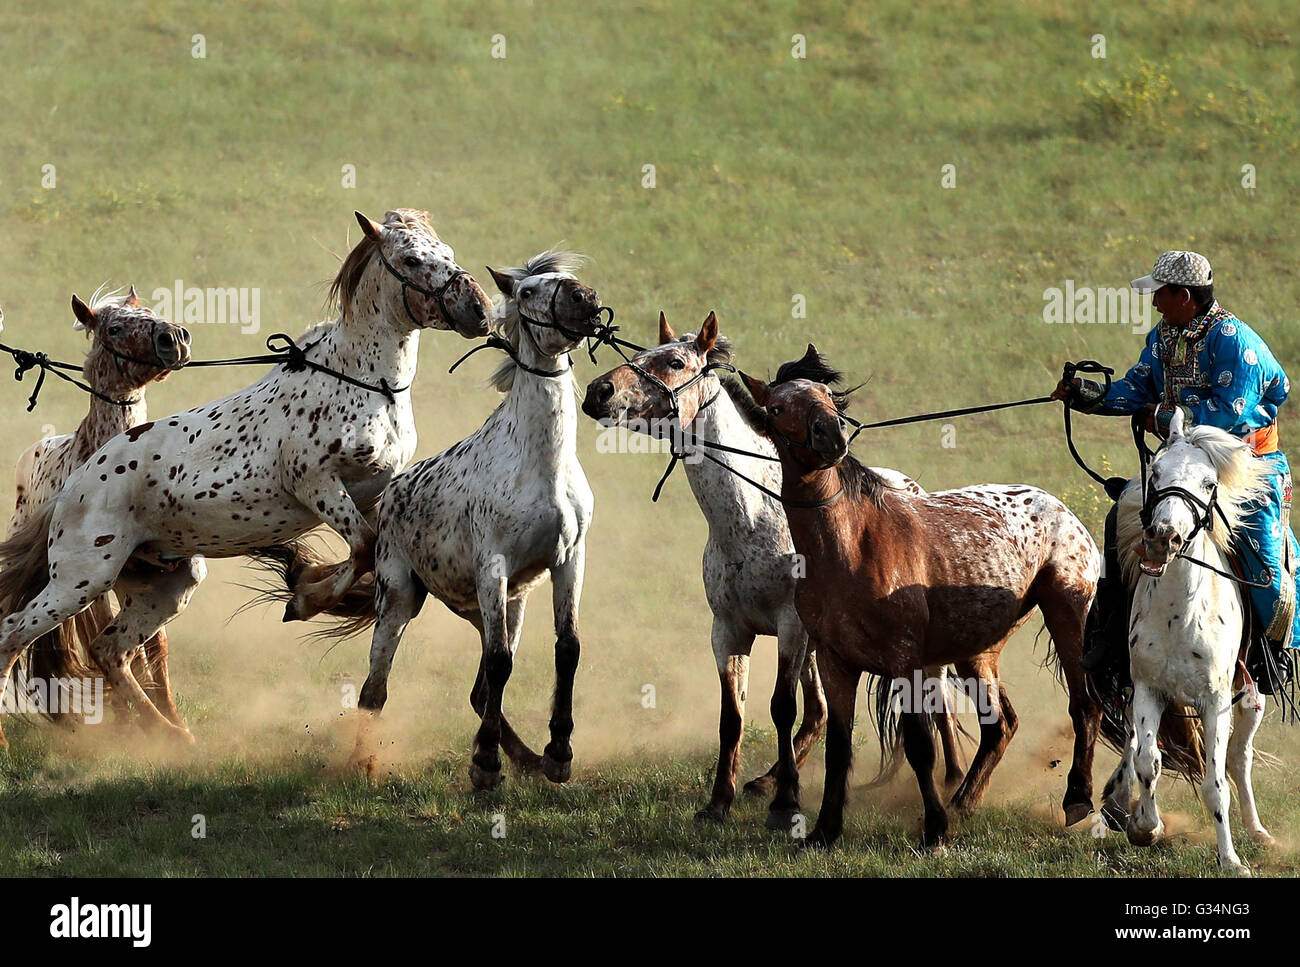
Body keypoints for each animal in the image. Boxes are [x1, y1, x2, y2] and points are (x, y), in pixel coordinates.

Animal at [4, 291, 192, 727]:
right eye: (115, 328)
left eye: (150, 312)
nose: (173, 338)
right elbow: (109, 639)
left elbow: (154, 648)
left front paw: (171, 717)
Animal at [325, 253, 603, 790]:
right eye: (528, 292)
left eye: (571, 281)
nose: (586, 300)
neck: (542, 467)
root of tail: (393, 494)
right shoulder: (492, 565)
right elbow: (499, 664)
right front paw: (487, 765)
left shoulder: (569, 560)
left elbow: (567, 649)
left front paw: (557, 755)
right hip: (401, 600)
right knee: (375, 690)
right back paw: (363, 763)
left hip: (504, 606)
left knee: (480, 688)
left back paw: (526, 759)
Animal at [585, 313, 961, 826]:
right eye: (640, 354)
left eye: (675, 362)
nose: (598, 391)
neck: (751, 517)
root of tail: (913, 489)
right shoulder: (728, 630)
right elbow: (733, 716)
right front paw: (719, 801)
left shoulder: (791, 627)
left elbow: (781, 708)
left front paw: (786, 805)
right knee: (821, 711)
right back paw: (766, 779)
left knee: (937, 703)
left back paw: (955, 781)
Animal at [738, 348, 1102, 847]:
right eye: (776, 408)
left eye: (827, 394)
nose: (830, 434)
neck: (851, 546)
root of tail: (1063, 511)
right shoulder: (835, 661)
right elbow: (838, 746)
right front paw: (825, 830)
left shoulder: (904, 660)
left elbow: (919, 747)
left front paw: (934, 830)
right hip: (977, 651)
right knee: (1001, 725)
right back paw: (964, 801)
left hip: (1069, 615)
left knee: (1085, 705)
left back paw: (1076, 798)